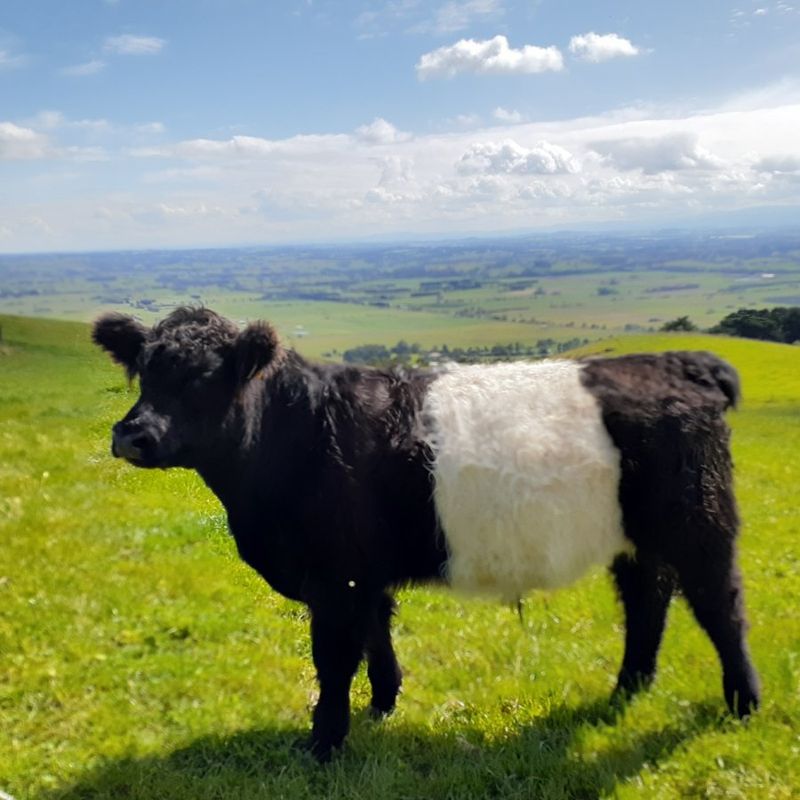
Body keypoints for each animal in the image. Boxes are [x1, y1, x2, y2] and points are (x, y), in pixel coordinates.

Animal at [90, 308, 760, 764]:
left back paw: (743, 702)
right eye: (144, 371)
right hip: (634, 538)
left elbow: (334, 658)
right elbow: (375, 635)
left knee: (719, 605)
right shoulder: (362, 573)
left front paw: (324, 743)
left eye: (206, 377)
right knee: (648, 600)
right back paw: (626, 690)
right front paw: (383, 704)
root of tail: (678, 361)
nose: (133, 435)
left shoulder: (333, 577)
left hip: (699, 524)